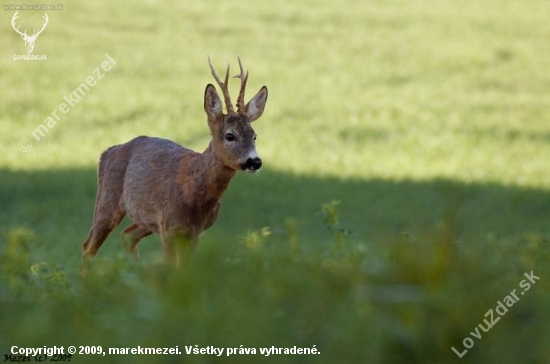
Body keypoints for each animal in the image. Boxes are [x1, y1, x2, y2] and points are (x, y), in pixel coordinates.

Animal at [82, 58, 270, 266]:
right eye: (230, 135)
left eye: (254, 136)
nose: (255, 161)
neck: (193, 192)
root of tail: (107, 152)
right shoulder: (169, 227)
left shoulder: (194, 232)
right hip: (108, 197)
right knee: (88, 246)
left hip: (146, 219)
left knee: (127, 235)